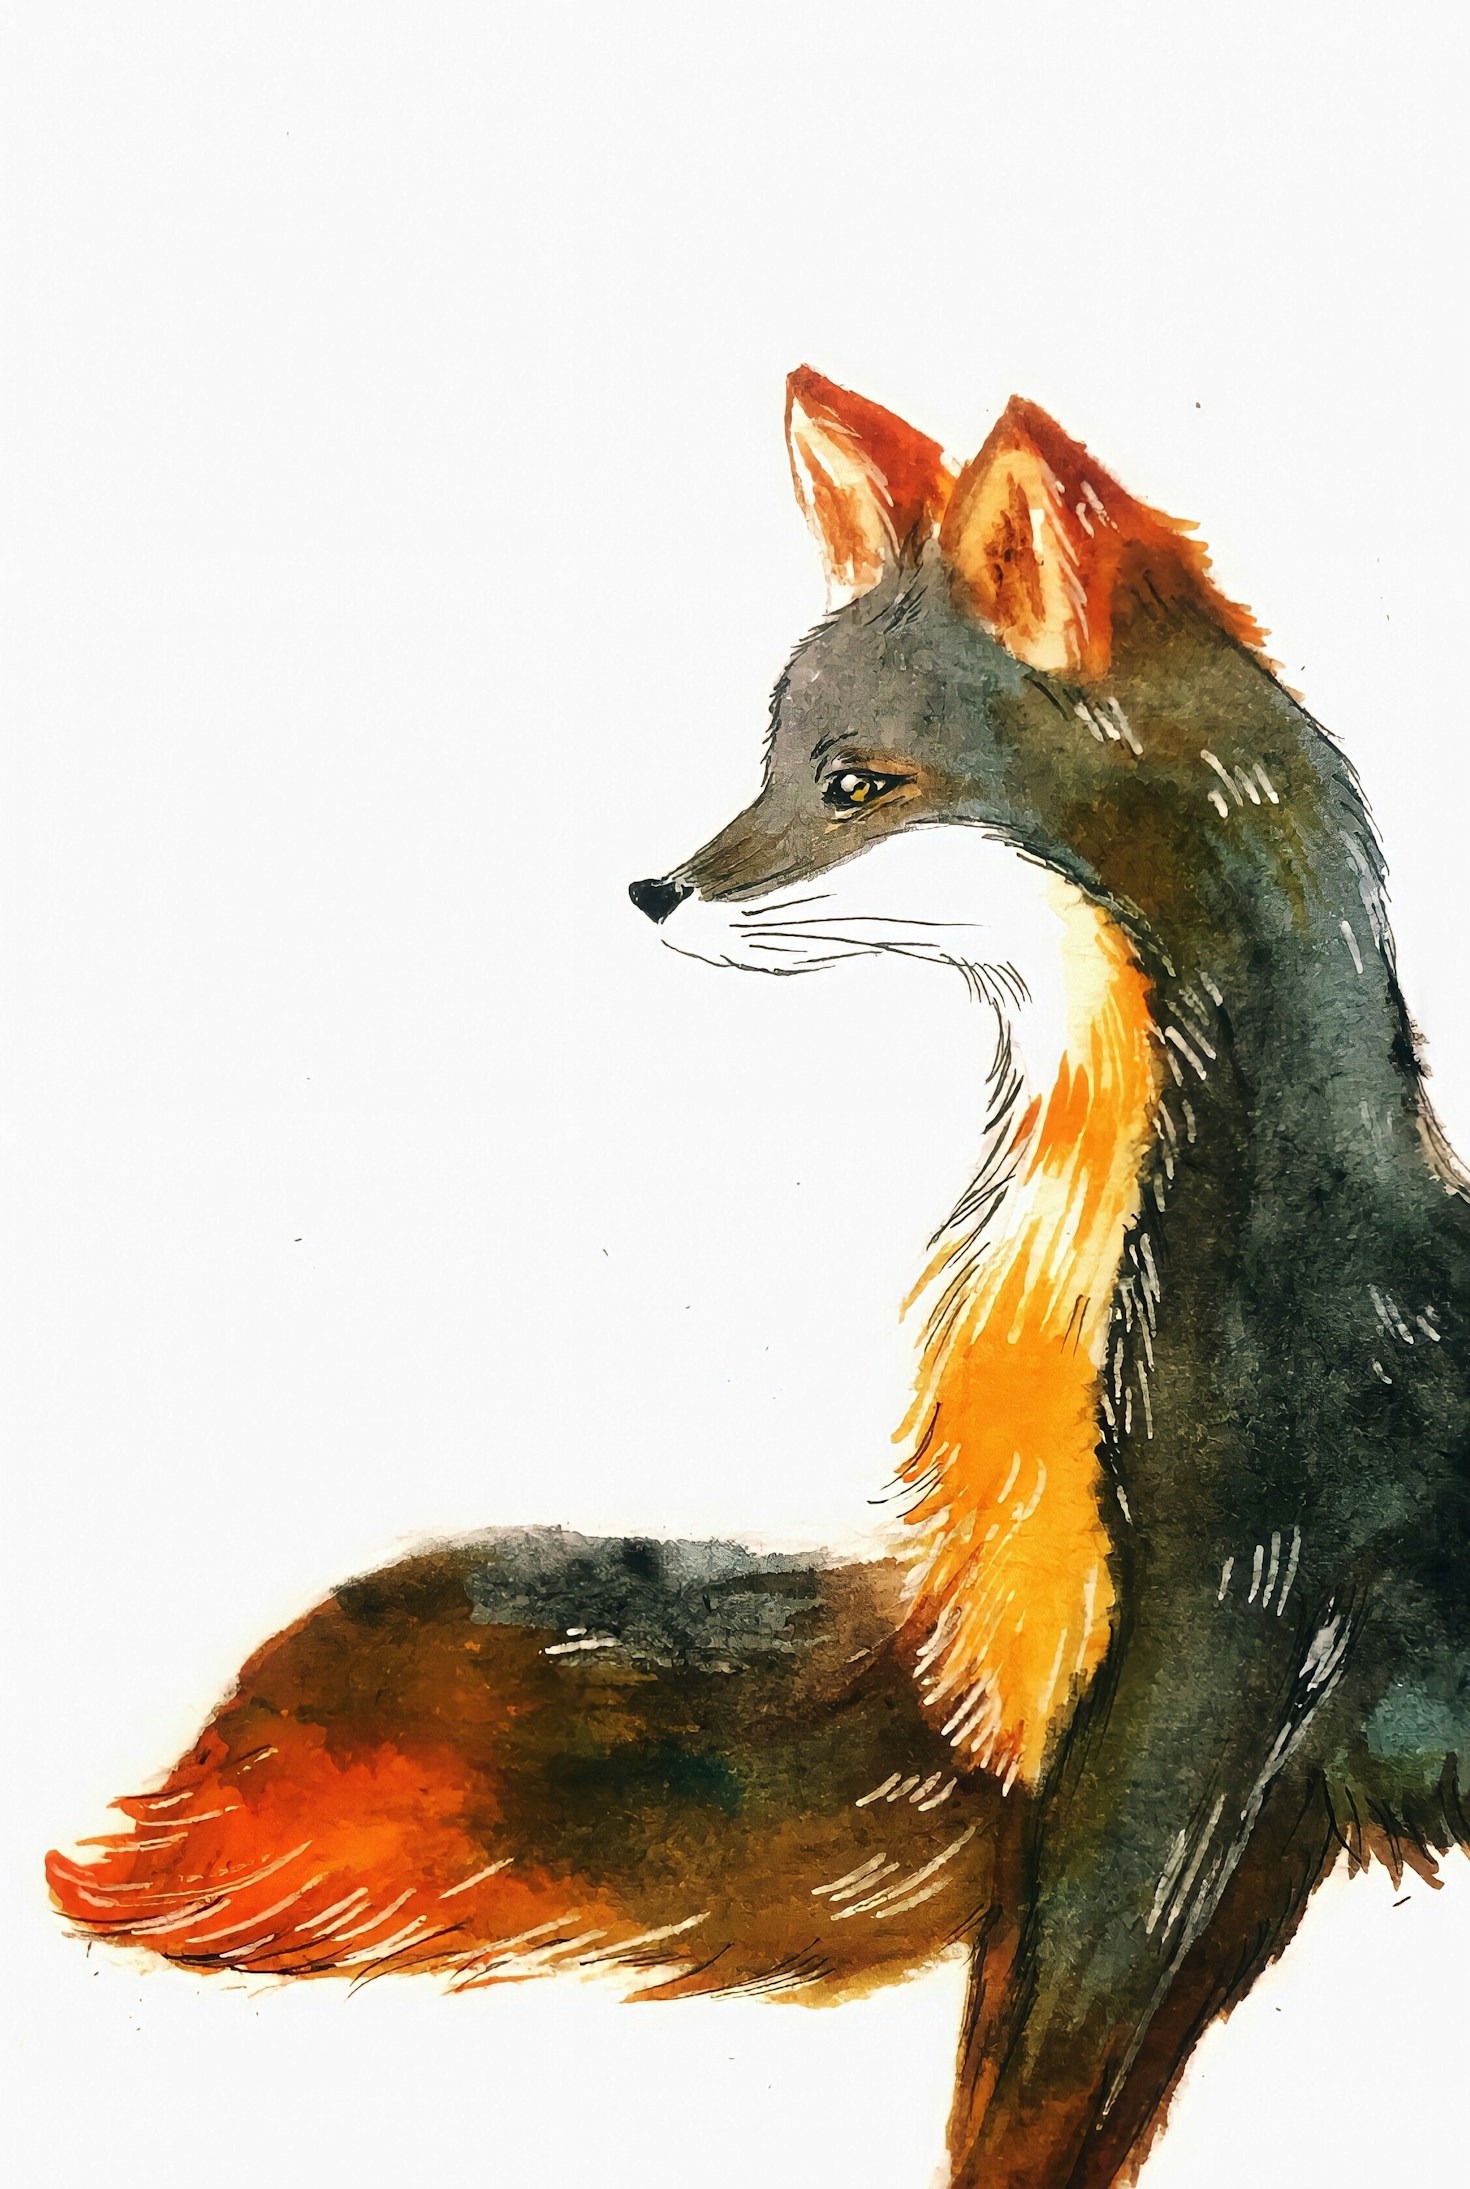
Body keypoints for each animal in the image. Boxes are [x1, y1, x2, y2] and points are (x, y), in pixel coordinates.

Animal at [48, 369, 1469, 2188]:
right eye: (775, 758)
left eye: (856, 783)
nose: (656, 888)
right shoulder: (1023, 1740)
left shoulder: (1193, 1713)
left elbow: (1029, 2090)